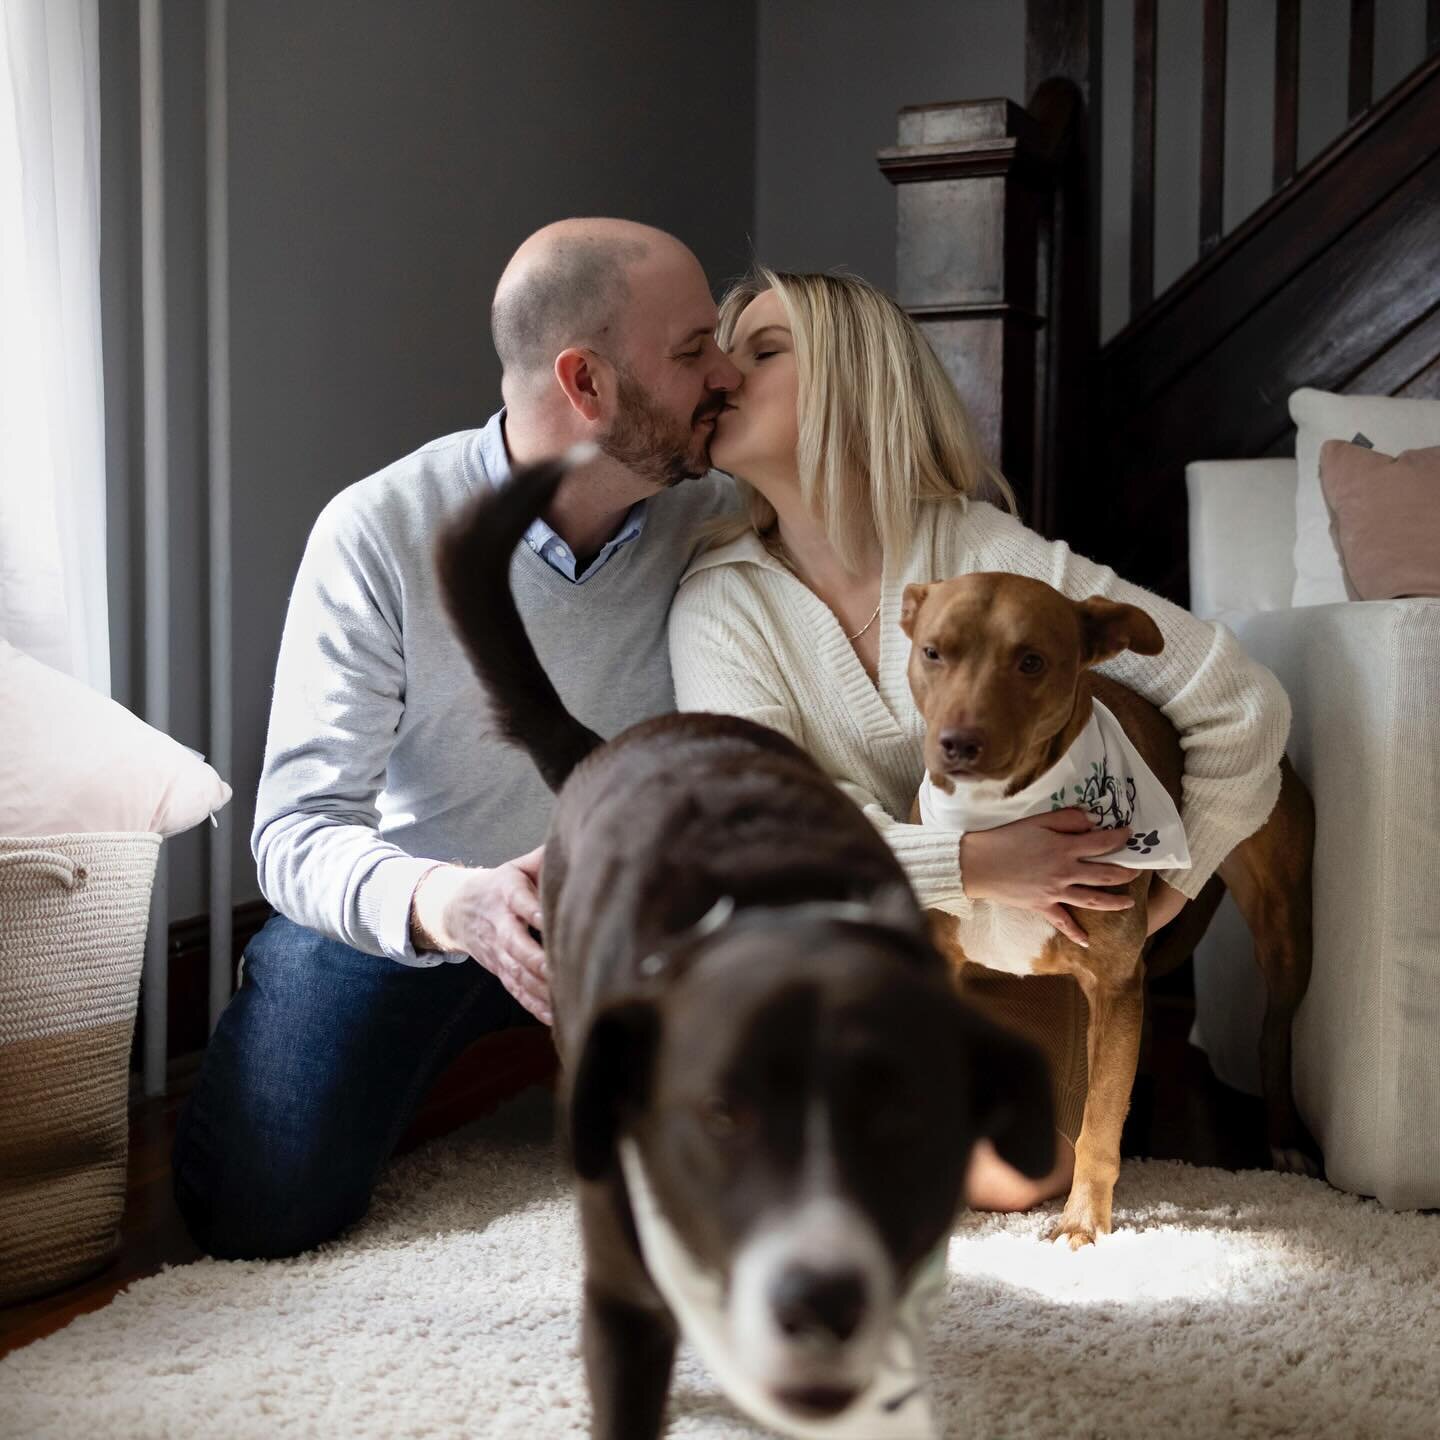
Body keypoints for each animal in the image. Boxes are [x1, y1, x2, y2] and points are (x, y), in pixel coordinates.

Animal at [904, 573, 1319, 1249]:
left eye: (1031, 662)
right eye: (934, 652)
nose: (959, 744)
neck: (1005, 817)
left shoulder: (1116, 984)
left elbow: (1099, 1117)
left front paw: (1082, 1221)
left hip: (1284, 932)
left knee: (1273, 1034)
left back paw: (1284, 1140)